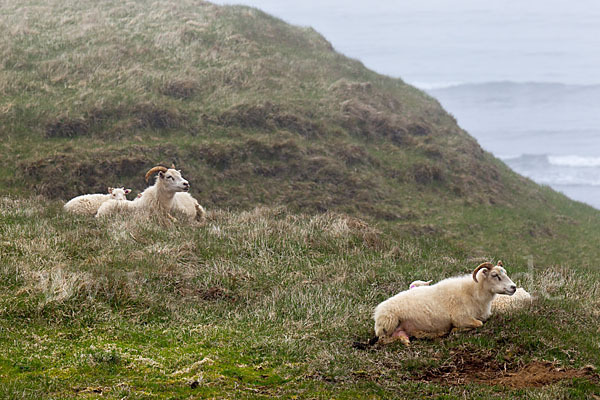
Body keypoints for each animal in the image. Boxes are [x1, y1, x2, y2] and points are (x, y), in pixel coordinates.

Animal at [370, 260, 516, 346]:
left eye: (505, 273)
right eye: (495, 275)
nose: (513, 287)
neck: (474, 292)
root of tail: (377, 311)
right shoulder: (461, 318)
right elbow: (478, 323)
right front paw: (454, 330)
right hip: (389, 323)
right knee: (383, 340)